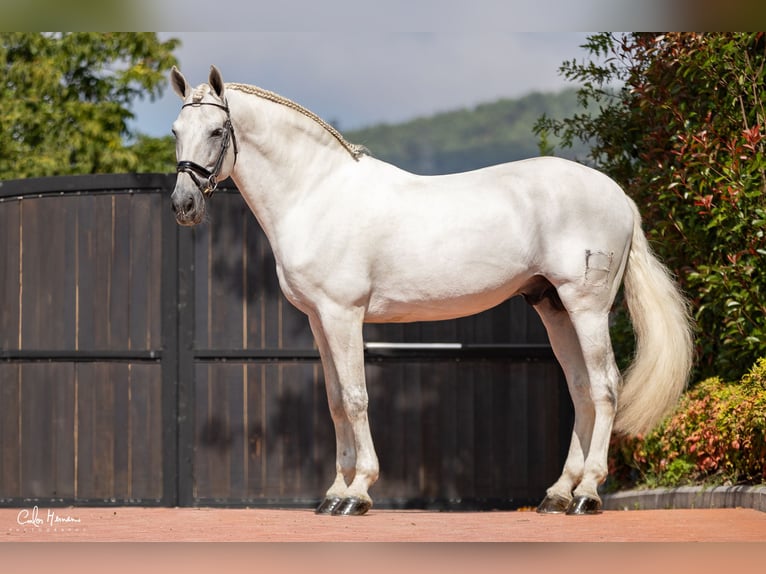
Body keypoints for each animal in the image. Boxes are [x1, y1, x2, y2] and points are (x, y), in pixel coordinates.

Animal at [172, 66, 696, 516]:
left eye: (217, 131)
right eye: (177, 129)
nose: (183, 205)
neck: (317, 193)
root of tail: (619, 195)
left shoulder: (343, 314)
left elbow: (357, 397)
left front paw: (357, 494)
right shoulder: (319, 319)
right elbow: (336, 400)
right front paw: (334, 493)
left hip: (586, 307)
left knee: (605, 388)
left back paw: (587, 494)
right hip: (553, 306)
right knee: (582, 389)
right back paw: (557, 495)